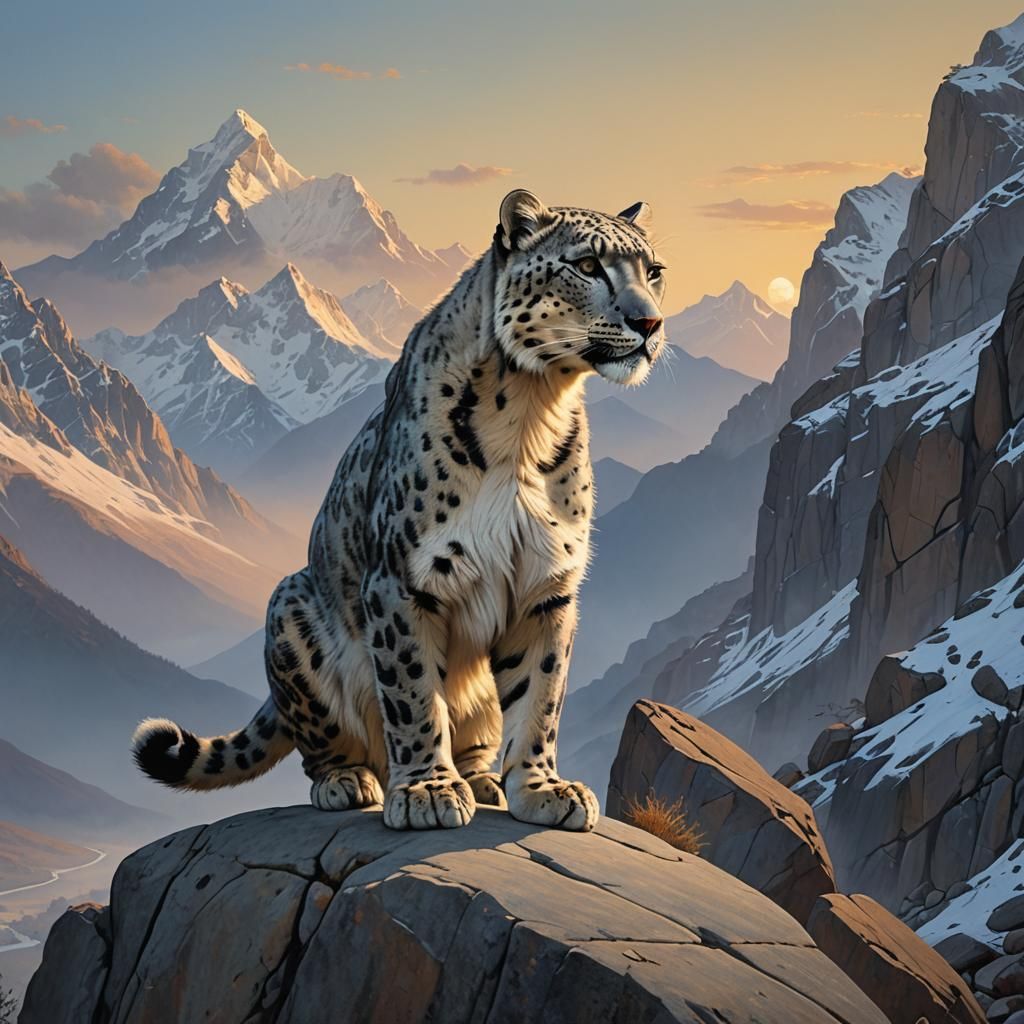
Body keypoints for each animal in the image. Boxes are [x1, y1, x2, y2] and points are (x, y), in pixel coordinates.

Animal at [133, 190, 667, 831]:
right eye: (587, 265)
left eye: (654, 272)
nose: (649, 323)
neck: (531, 411)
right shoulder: (403, 580)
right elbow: (413, 692)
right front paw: (427, 791)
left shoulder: (548, 585)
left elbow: (541, 695)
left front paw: (542, 788)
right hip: (290, 609)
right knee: (327, 741)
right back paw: (350, 782)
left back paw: (483, 780)